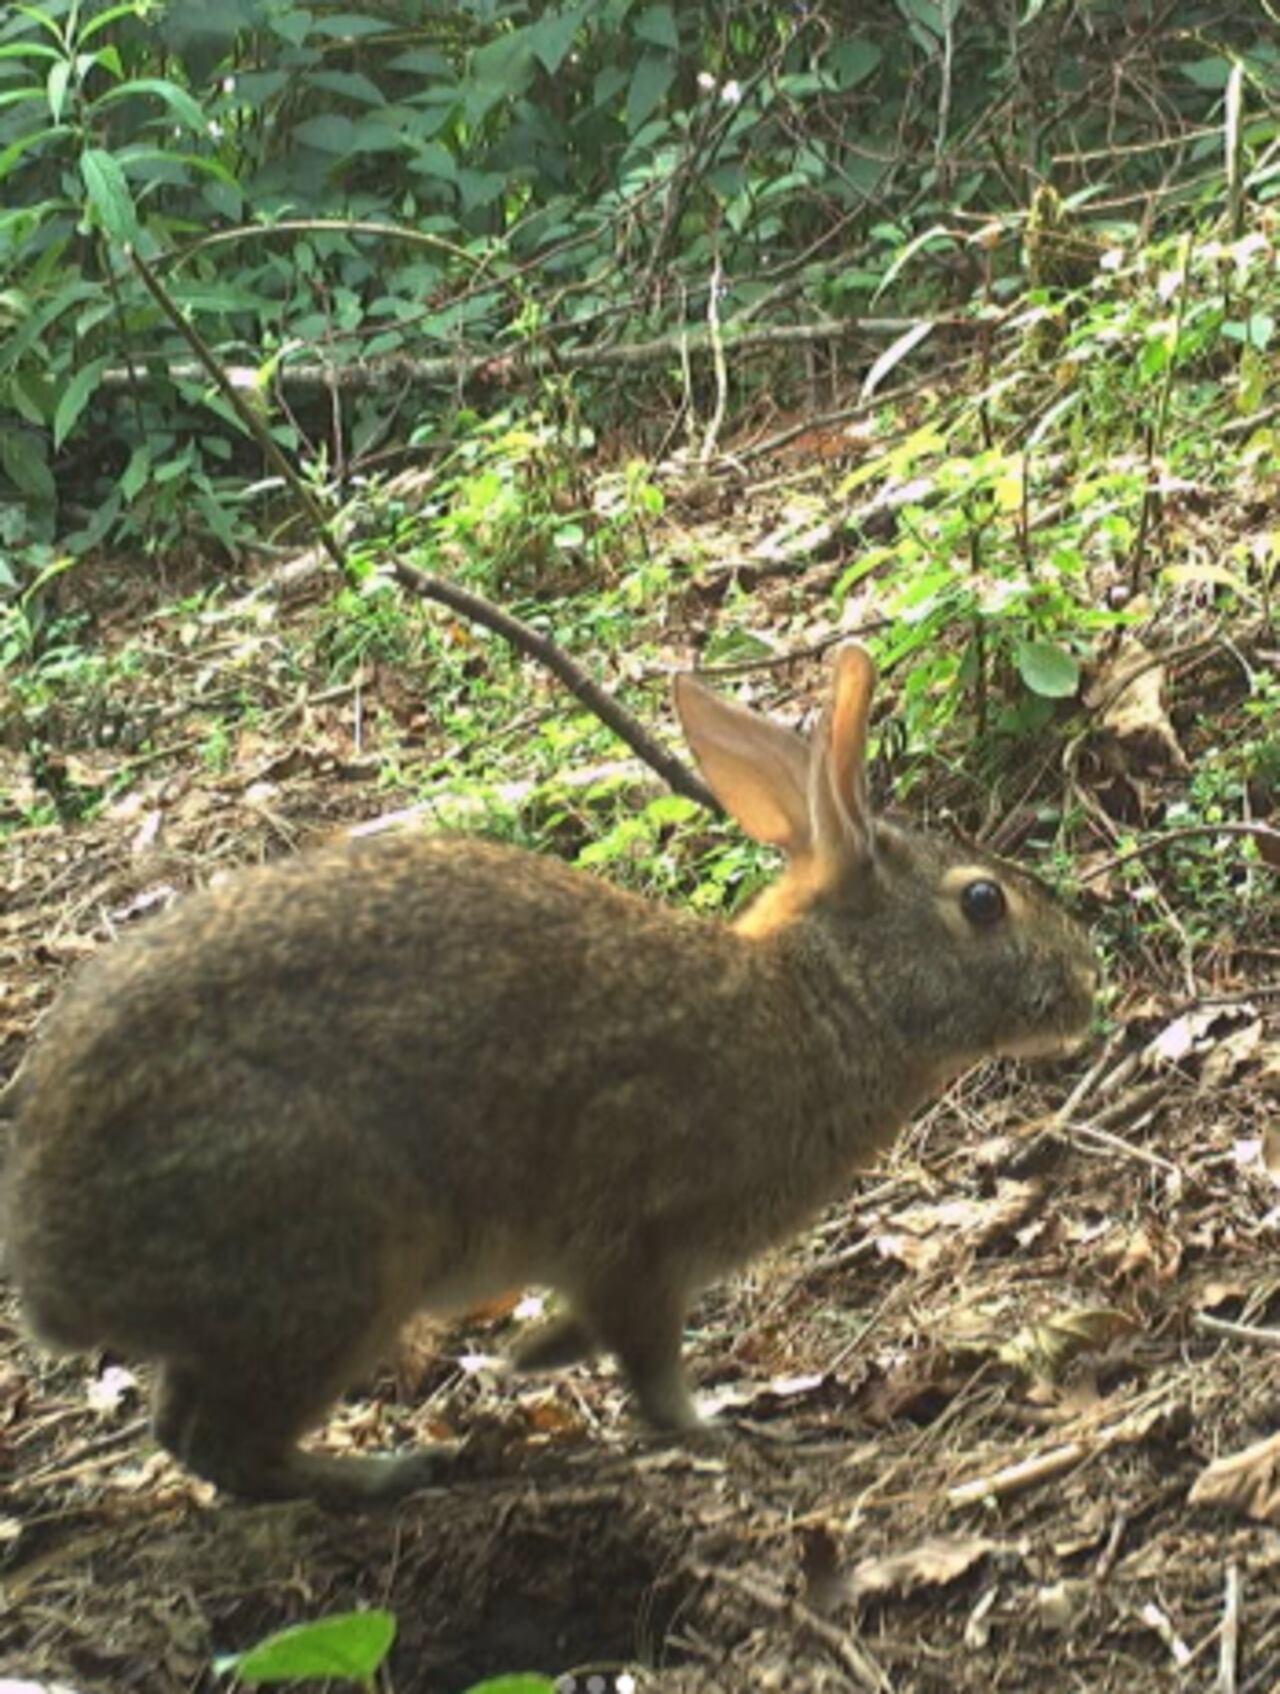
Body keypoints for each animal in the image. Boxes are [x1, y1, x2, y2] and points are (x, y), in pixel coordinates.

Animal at [3, 643, 1098, 1505]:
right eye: (983, 903)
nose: (1085, 982)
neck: (823, 999)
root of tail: (54, 1266)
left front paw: (523, 1355)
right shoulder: (643, 1239)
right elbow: (650, 1364)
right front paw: (714, 1425)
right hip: (336, 1258)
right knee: (217, 1438)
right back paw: (385, 1472)